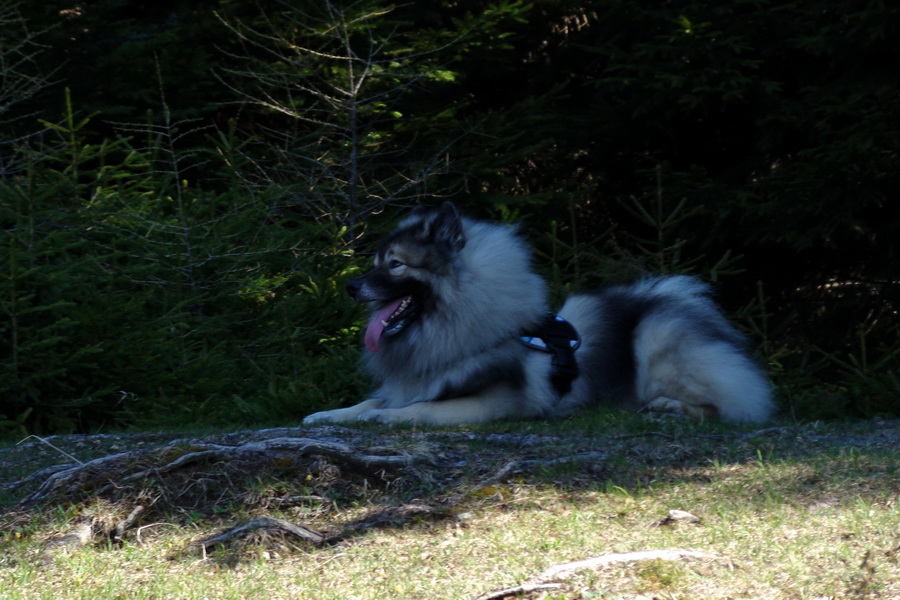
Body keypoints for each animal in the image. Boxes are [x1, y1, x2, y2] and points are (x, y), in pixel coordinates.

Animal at [302, 203, 772, 426]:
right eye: (376, 262)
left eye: (395, 265)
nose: (350, 286)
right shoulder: (412, 382)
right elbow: (367, 400)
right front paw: (328, 415)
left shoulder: (496, 402)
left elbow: (419, 410)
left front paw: (386, 417)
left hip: (658, 340)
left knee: (729, 406)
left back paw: (668, 408)